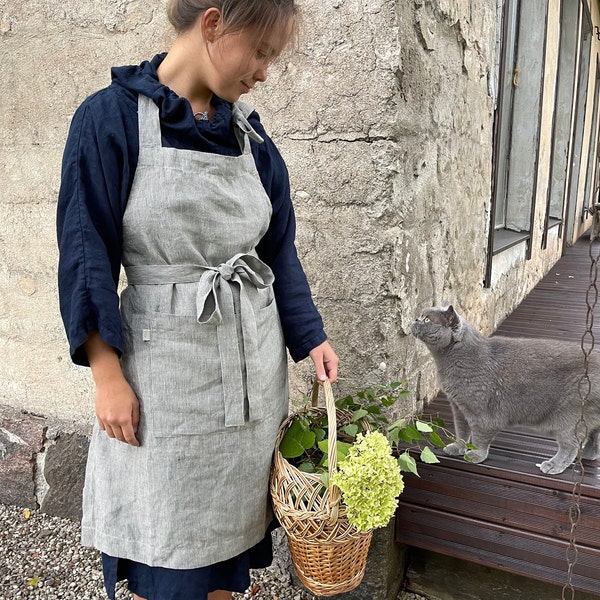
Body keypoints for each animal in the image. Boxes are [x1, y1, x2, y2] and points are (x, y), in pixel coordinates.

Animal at [410, 304, 600, 474]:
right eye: (421, 316)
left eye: (427, 319)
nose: (415, 319)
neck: (451, 360)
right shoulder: (458, 408)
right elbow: (462, 432)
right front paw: (458, 447)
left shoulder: (482, 414)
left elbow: (479, 436)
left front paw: (476, 455)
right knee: (593, 438)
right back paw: (588, 455)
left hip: (570, 416)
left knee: (571, 445)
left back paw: (553, 465)